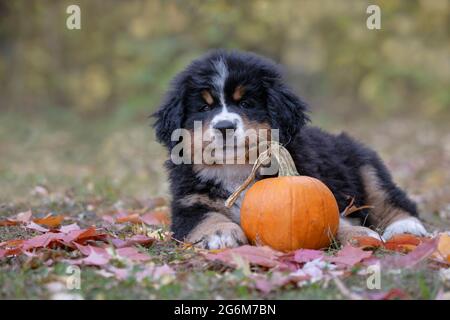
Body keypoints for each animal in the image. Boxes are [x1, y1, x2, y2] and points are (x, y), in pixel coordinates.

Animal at [153, 50, 428, 250]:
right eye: (203, 108)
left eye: (246, 103)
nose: (224, 126)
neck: (237, 166)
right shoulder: (188, 203)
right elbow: (206, 217)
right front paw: (220, 234)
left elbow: (333, 217)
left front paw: (359, 233)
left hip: (366, 167)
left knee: (391, 199)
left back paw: (406, 227)